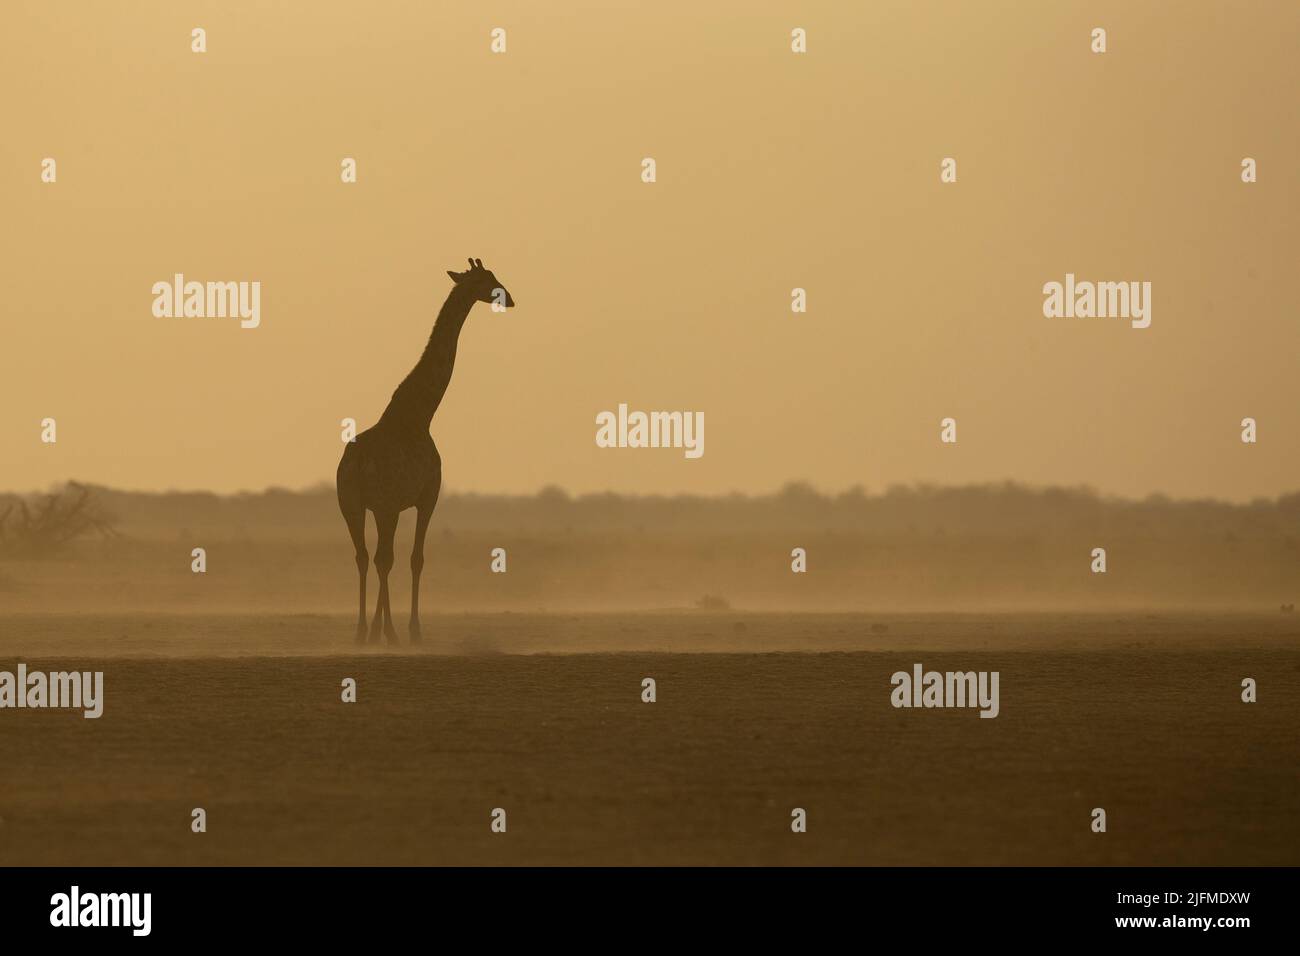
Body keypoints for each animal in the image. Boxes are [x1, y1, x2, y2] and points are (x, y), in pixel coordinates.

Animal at [338, 260, 514, 642]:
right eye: (485, 280)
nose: (509, 298)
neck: (420, 416)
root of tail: (354, 463)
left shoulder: (396, 505)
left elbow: (398, 559)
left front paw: (384, 629)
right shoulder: (426, 496)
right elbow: (415, 558)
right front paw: (413, 630)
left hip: (352, 505)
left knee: (363, 556)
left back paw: (363, 631)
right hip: (379, 506)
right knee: (381, 558)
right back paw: (385, 632)